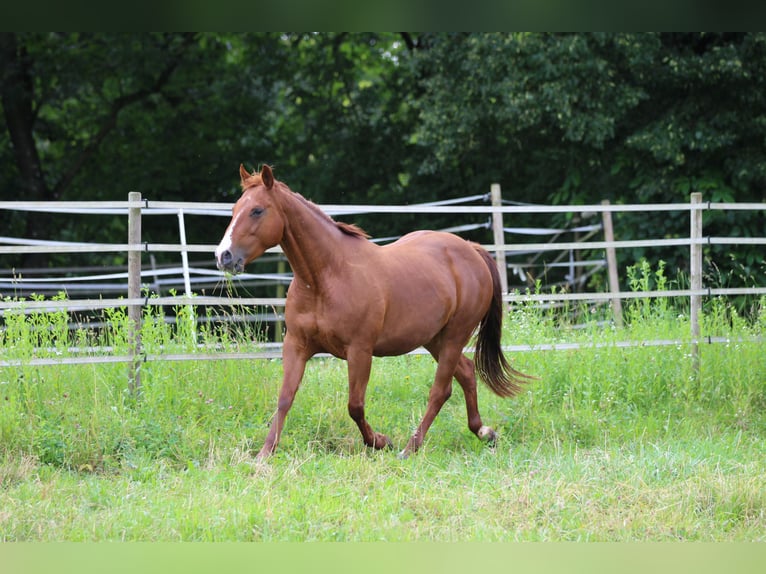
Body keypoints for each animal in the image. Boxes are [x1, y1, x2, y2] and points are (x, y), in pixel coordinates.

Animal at [216, 165, 536, 460]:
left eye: (257, 210)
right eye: (234, 209)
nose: (223, 256)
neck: (326, 277)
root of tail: (471, 249)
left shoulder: (360, 350)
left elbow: (355, 406)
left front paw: (381, 442)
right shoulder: (296, 345)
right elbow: (284, 398)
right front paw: (264, 454)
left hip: (455, 336)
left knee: (440, 391)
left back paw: (409, 448)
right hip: (435, 339)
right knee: (467, 373)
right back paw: (484, 432)